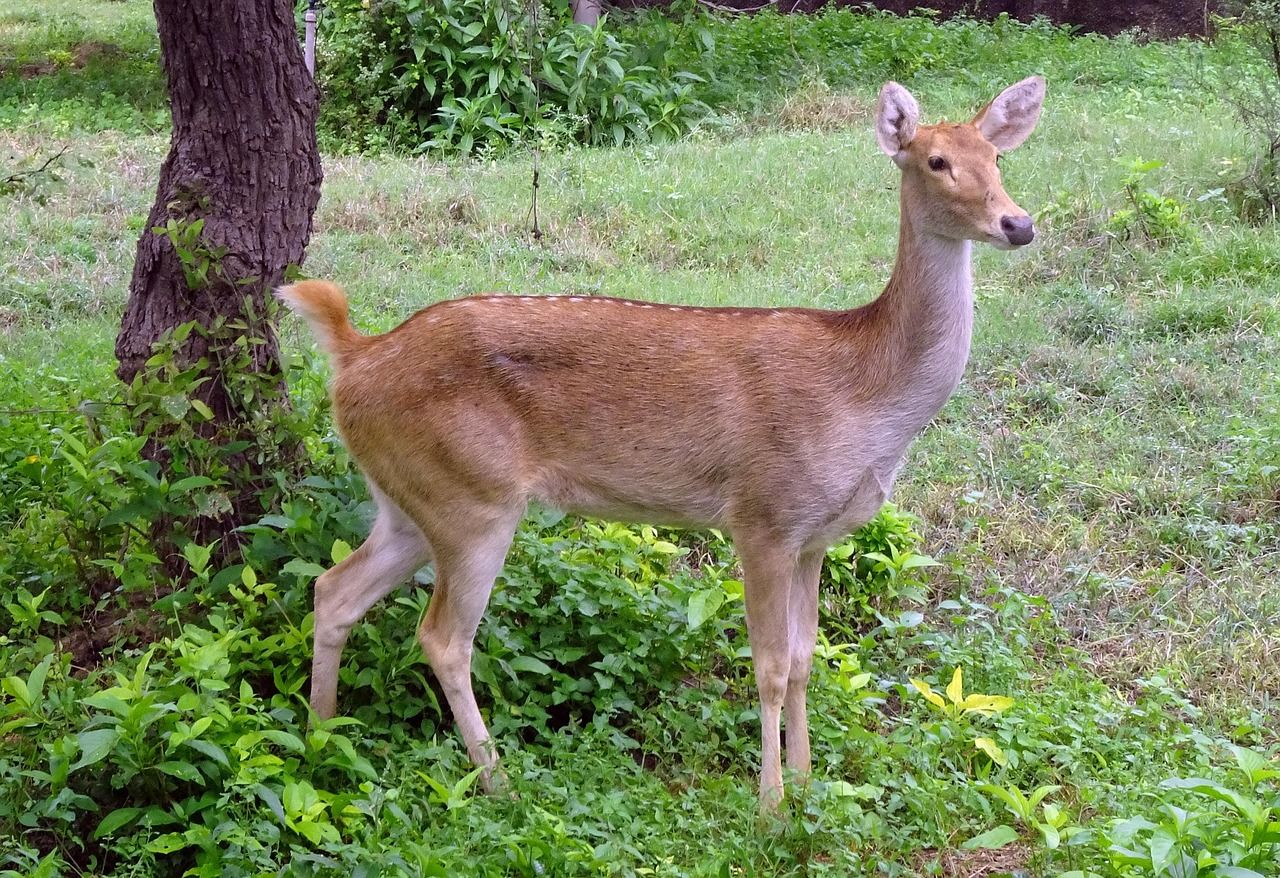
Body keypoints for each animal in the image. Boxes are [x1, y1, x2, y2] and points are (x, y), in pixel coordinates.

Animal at [278, 76, 1045, 809]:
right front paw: (771, 808)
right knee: (442, 638)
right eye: (936, 160)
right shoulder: (763, 514)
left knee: (333, 588)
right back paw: (496, 783)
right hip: (473, 497)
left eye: (998, 157)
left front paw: (806, 784)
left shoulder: (816, 536)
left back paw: (321, 737)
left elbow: (805, 660)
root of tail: (354, 357)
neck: (866, 396)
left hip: (412, 497)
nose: (1019, 223)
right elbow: (769, 666)